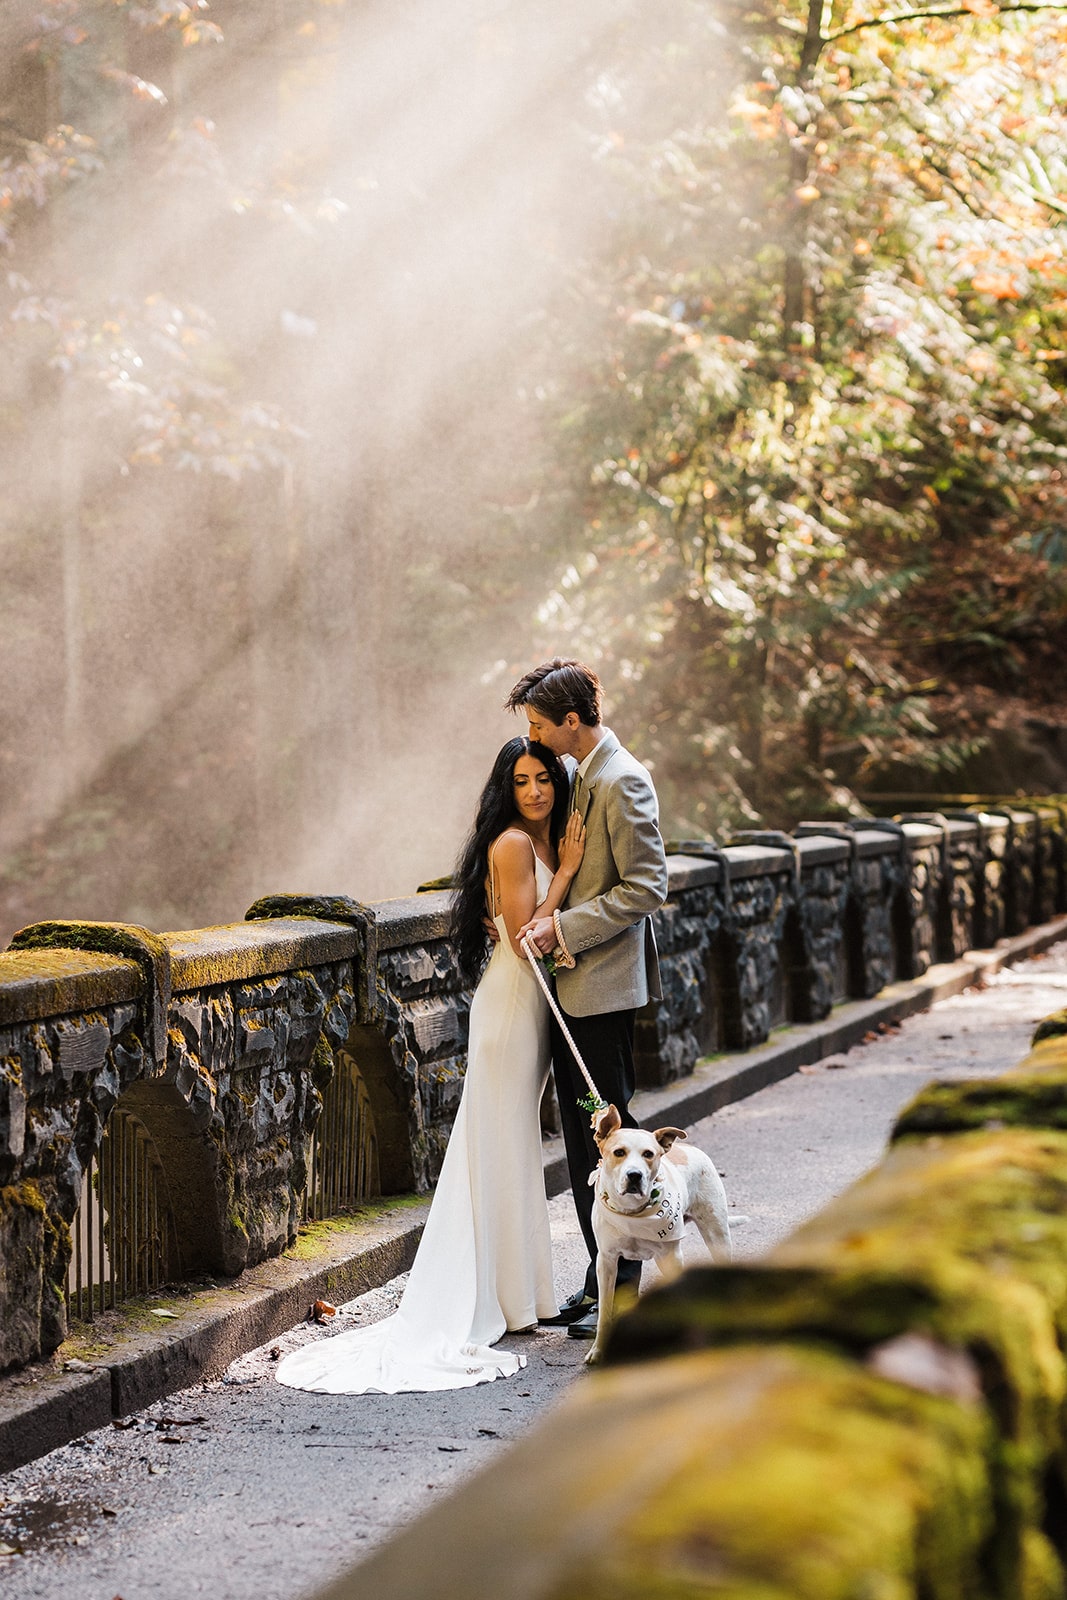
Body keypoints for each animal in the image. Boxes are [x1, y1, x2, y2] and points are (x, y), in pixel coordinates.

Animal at [585, 1113, 735, 1363]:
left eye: (648, 1154)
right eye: (619, 1152)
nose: (634, 1175)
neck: (632, 1213)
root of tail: (688, 1148)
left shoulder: (672, 1257)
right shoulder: (606, 1261)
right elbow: (605, 1311)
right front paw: (598, 1350)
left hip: (717, 1237)